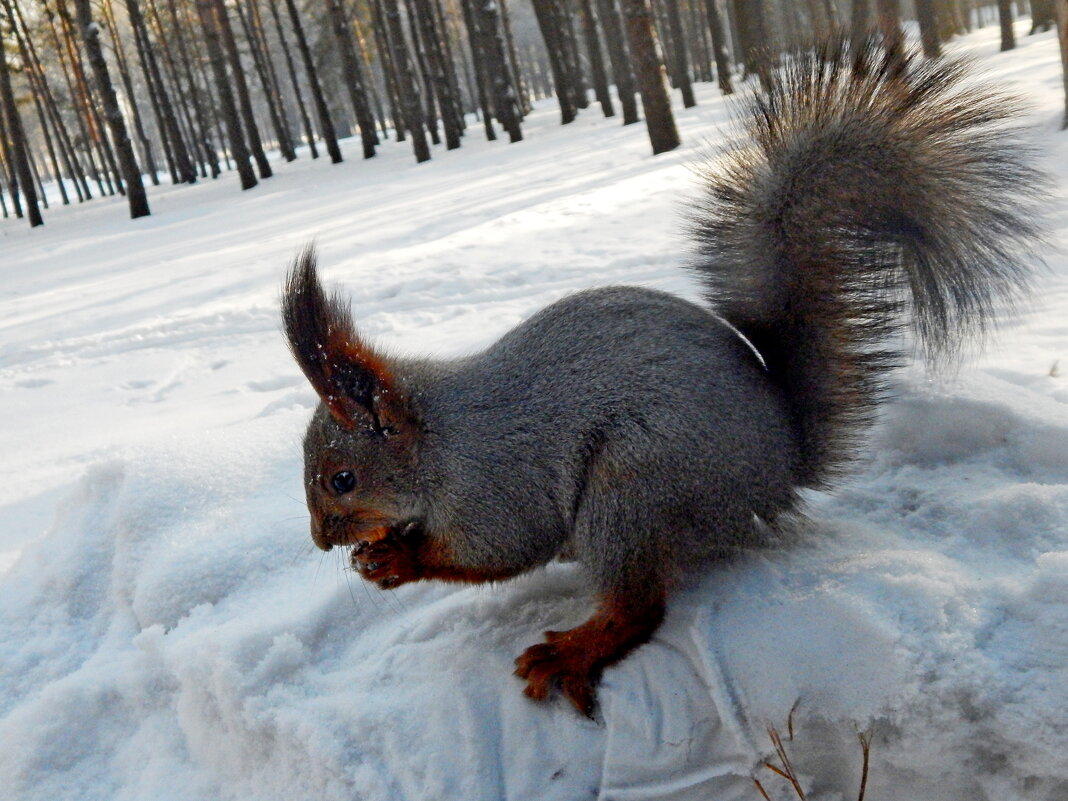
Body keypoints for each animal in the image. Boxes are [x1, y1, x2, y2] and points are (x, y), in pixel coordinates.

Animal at [281, 37, 1042, 717]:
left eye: (342, 478)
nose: (319, 540)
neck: (440, 439)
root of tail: (780, 469)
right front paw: (382, 549)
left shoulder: (496, 483)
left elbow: (502, 548)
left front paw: (399, 560)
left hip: (635, 487)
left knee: (638, 609)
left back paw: (573, 652)